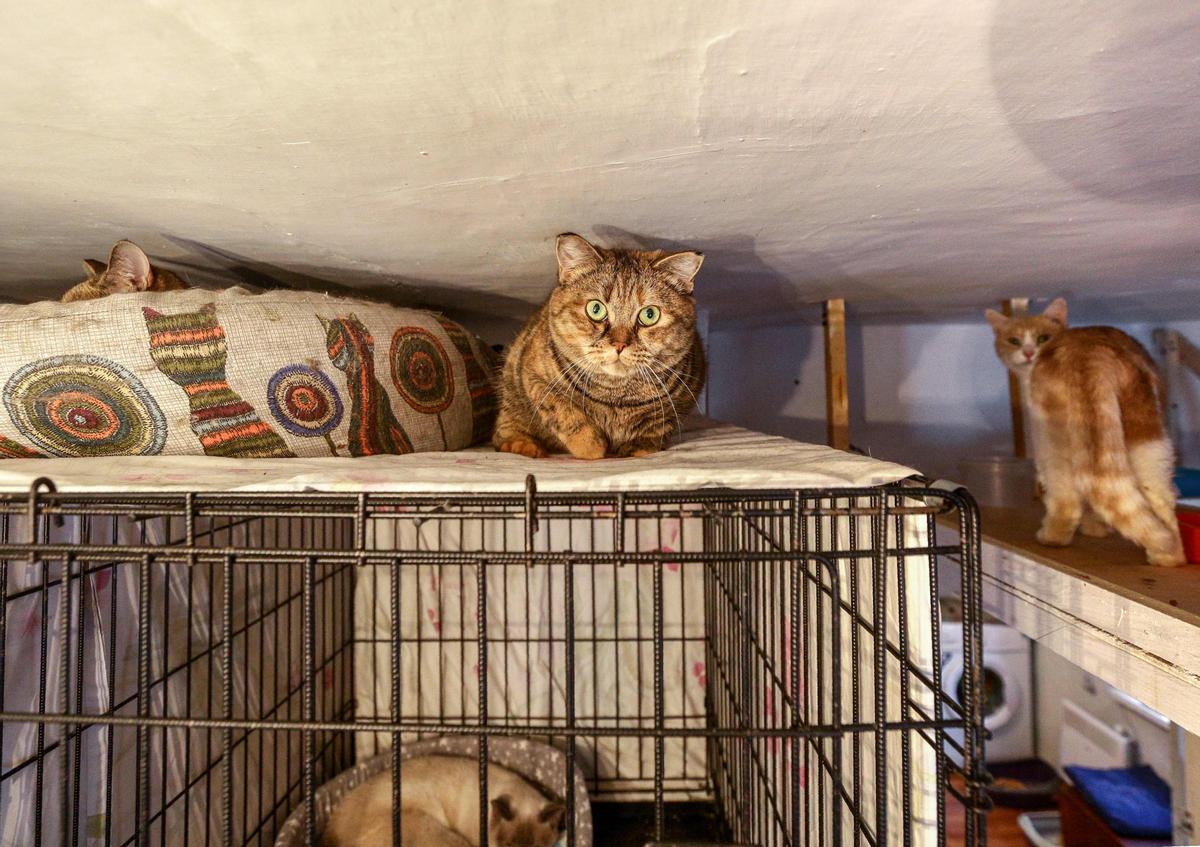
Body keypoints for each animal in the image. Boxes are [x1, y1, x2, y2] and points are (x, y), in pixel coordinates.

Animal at [494, 230, 705, 458]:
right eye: (596, 309)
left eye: (650, 314)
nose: (620, 344)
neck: (616, 395)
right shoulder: (534, 378)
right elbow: (565, 413)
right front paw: (591, 446)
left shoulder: (683, 397)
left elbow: (656, 426)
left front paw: (638, 448)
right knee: (502, 432)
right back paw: (524, 445)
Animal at [984, 298, 1180, 566]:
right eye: (1014, 340)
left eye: (1043, 338)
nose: (1028, 352)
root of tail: (1090, 351)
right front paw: (1097, 528)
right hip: (1146, 433)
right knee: (1160, 496)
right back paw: (1168, 554)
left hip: (1051, 440)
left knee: (1065, 497)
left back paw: (1053, 537)